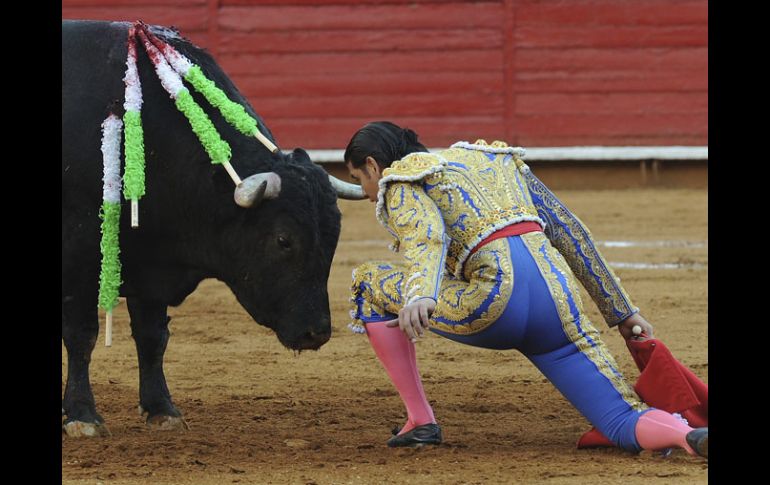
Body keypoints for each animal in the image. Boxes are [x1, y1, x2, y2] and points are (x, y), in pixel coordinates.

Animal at [63, 20, 342, 432]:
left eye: (334, 239)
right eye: (283, 240)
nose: (316, 332)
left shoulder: (151, 256)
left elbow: (152, 336)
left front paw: (162, 409)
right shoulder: (78, 256)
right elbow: (82, 335)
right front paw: (82, 416)